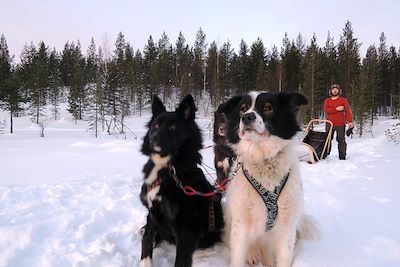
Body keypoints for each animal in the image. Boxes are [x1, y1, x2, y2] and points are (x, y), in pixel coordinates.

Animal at [139, 94, 223, 267]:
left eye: (173, 127)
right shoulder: (152, 210)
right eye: (156, 126)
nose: (152, 140)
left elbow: (181, 259)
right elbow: (147, 239)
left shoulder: (186, 227)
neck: (169, 171)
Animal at [222, 91, 318, 266]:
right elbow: (238, 257)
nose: (247, 117)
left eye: (267, 107)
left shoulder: (286, 227)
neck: (264, 160)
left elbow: (284, 258)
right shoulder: (240, 224)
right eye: (243, 108)